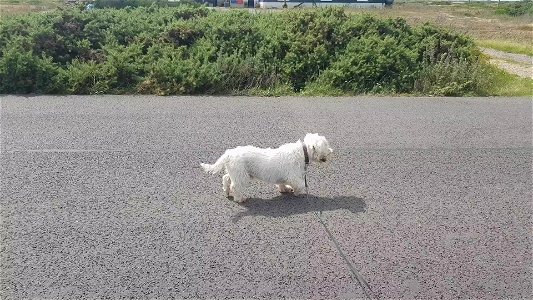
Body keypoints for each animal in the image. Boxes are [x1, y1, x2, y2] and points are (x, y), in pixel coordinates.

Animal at [200, 134, 332, 203]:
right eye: (326, 145)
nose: (331, 151)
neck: (302, 152)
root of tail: (228, 154)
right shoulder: (293, 176)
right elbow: (300, 184)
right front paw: (297, 192)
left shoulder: (284, 176)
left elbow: (282, 183)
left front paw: (285, 189)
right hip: (241, 175)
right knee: (235, 186)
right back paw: (240, 198)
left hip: (237, 172)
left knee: (226, 178)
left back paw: (226, 191)